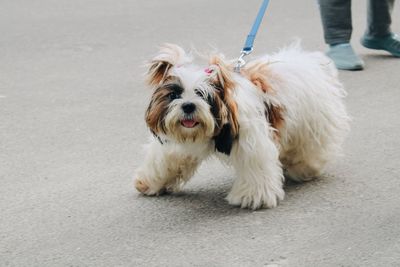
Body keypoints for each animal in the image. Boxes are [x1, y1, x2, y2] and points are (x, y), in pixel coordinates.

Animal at [134, 44, 350, 210]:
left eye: (202, 95)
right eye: (174, 95)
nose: (188, 105)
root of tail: (306, 61)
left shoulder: (252, 140)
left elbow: (255, 165)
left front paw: (253, 197)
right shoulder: (176, 143)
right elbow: (166, 158)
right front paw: (151, 181)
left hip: (312, 123)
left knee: (309, 147)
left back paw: (305, 167)